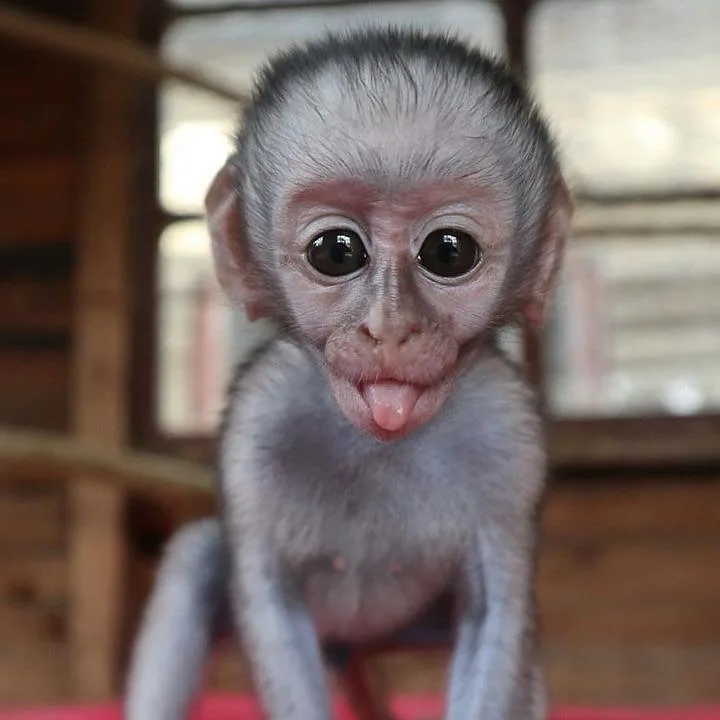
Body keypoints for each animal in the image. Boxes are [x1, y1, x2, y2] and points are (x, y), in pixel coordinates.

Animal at [125, 26, 573, 720]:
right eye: (336, 252)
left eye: (449, 252)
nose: (388, 330)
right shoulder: (259, 421)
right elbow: (269, 602)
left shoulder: (510, 434)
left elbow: (498, 611)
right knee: (195, 560)